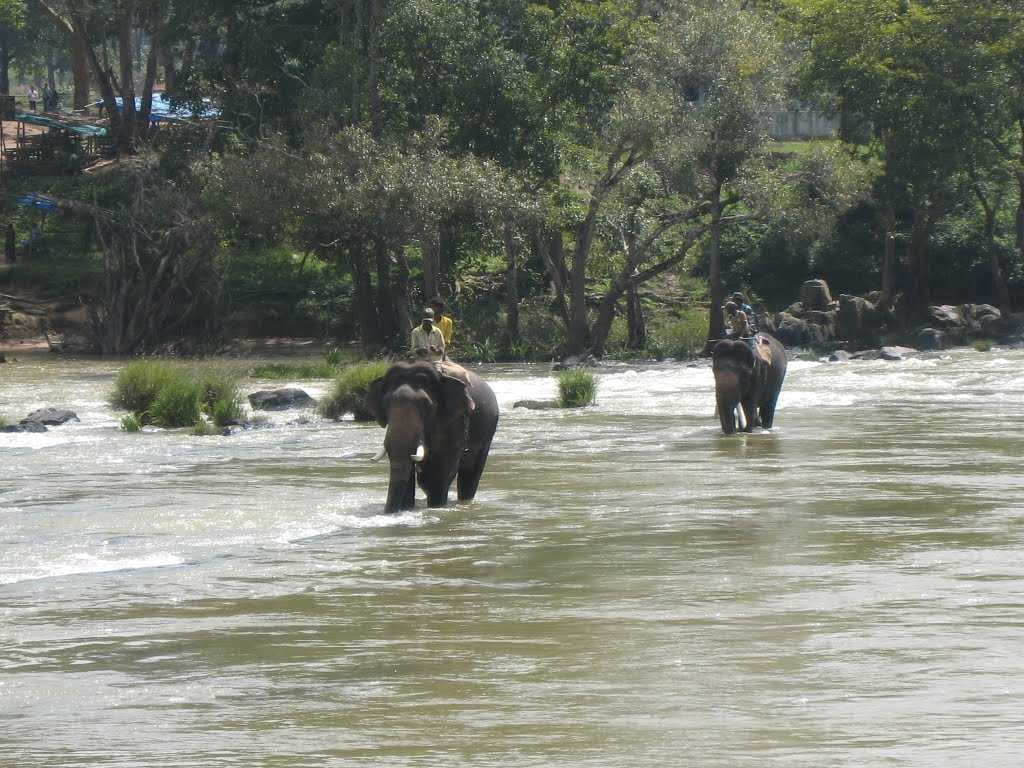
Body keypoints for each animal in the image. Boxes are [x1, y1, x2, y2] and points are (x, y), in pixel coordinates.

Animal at [367, 361, 499, 513]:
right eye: (385, 404)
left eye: (426, 405)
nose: (389, 513)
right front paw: (407, 508)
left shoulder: (456, 420)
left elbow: (444, 467)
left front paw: (436, 507)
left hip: (488, 433)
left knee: (470, 473)